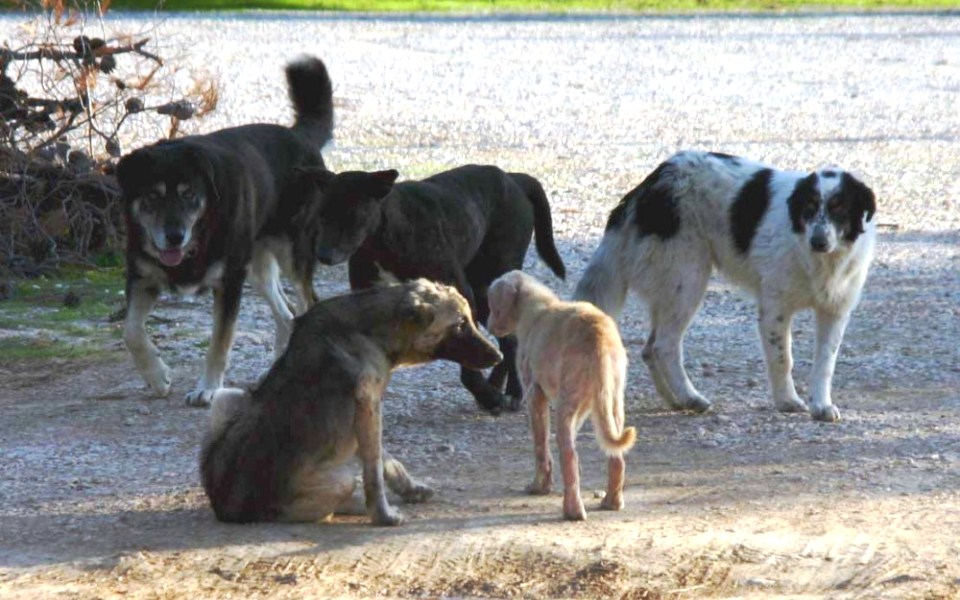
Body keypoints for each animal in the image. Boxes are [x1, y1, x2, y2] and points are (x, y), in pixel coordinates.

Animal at [202, 278, 502, 524]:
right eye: (460, 324)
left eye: (470, 319)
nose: (498, 356)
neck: (371, 330)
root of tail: (225, 507)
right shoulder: (369, 406)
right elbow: (374, 472)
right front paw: (383, 515)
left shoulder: (367, 414)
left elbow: (387, 461)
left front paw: (410, 490)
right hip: (336, 482)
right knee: (328, 502)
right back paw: (355, 504)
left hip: (228, 397)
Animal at [304, 165, 568, 418]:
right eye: (321, 215)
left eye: (351, 214)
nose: (323, 255)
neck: (383, 239)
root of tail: (514, 178)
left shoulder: (462, 296)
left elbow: (468, 363)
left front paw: (487, 396)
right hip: (485, 296)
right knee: (508, 340)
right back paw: (498, 385)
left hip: (490, 284)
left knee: (510, 339)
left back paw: (512, 392)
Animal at [488, 272, 636, 520]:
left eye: (493, 307)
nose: (489, 327)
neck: (537, 307)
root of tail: (599, 337)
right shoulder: (585, 407)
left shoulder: (534, 395)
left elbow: (541, 446)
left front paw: (539, 487)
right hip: (612, 403)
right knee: (616, 457)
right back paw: (612, 502)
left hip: (567, 404)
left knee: (569, 454)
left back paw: (572, 510)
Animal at [572, 150, 880, 422]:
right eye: (809, 208)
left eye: (840, 209)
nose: (818, 241)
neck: (819, 259)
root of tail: (651, 183)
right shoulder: (775, 309)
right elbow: (783, 359)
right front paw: (787, 401)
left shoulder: (835, 311)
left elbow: (825, 363)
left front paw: (821, 406)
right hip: (688, 279)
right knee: (664, 345)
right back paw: (690, 397)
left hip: (671, 287)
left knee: (649, 349)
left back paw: (675, 400)